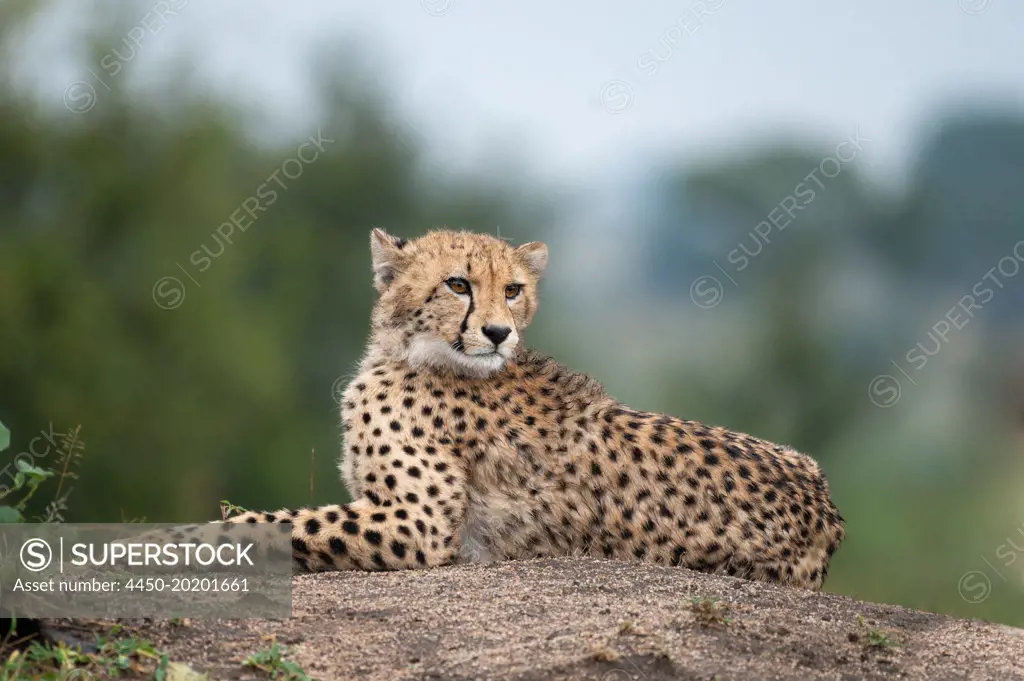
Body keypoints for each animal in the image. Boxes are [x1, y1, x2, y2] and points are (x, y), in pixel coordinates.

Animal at [220, 228, 843, 589]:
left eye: (513, 290)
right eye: (457, 284)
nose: (499, 333)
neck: (413, 352)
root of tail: (826, 509)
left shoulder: (419, 522)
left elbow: (267, 523)